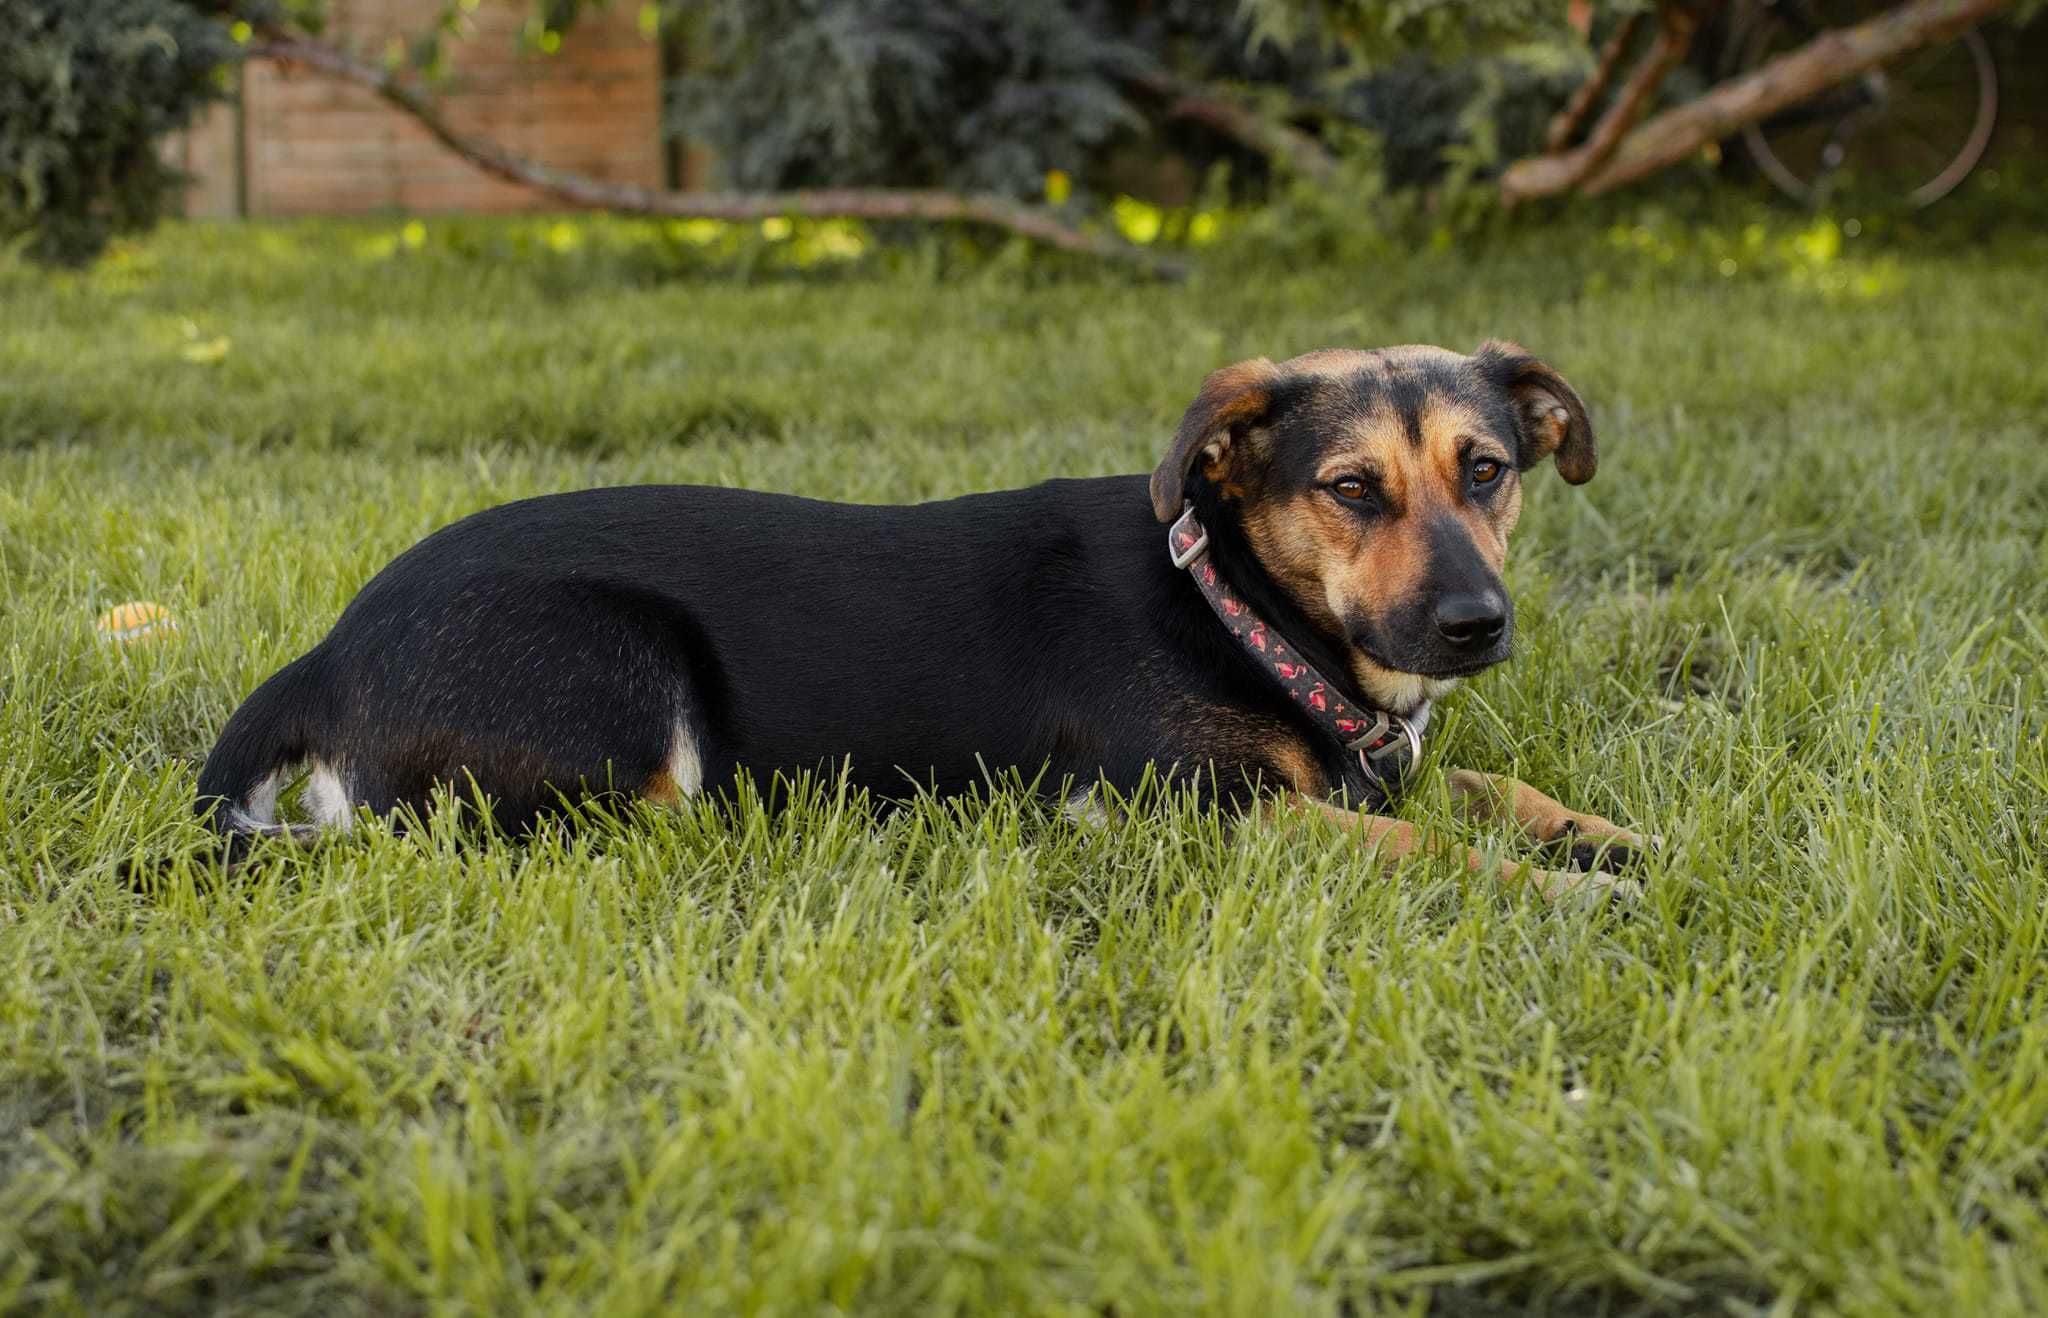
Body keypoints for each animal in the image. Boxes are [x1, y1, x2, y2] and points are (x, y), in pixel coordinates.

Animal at [195, 341, 1646, 896]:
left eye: (1487, 469)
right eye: (1351, 488)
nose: (1475, 623)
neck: (1235, 606)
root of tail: (327, 651)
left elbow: (1480, 784)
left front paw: (1610, 837)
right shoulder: (1196, 808)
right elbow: (1427, 848)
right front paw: (1563, 892)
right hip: (620, 678)